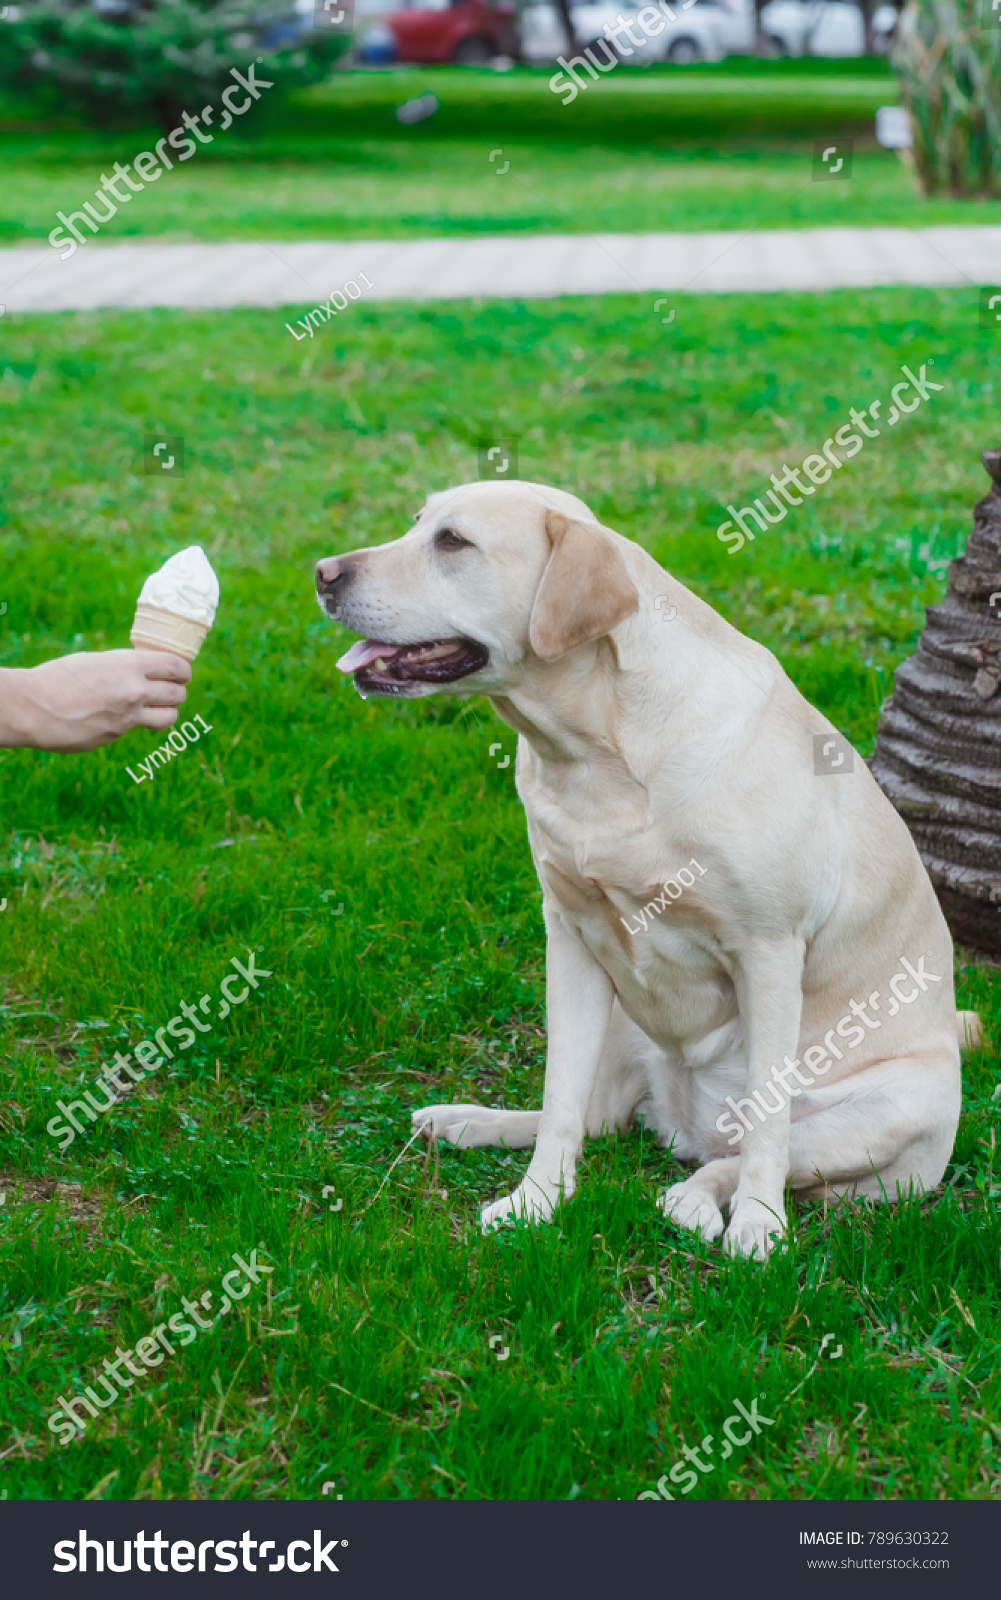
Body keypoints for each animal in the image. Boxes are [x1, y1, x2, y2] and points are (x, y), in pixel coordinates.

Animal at [318, 480, 972, 1254]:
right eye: (417, 524)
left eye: (454, 542)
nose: (322, 573)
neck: (598, 745)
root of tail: (685, 1130)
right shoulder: (570, 938)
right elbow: (559, 1099)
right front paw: (536, 1202)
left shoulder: (769, 951)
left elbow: (767, 1130)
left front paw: (759, 1225)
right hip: (623, 1022)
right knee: (592, 1117)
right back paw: (467, 1121)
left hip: (891, 1110)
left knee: (750, 1150)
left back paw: (698, 1200)